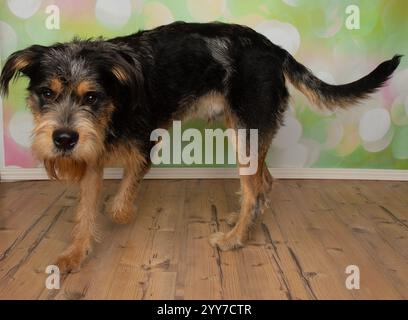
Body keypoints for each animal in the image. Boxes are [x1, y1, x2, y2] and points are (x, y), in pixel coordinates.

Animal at [0, 21, 402, 272]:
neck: (116, 98)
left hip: (245, 133)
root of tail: (274, 49)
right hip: (248, 133)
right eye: (46, 93)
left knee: (255, 189)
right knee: (264, 183)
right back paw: (245, 221)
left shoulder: (142, 147)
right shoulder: (90, 156)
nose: (63, 139)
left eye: (92, 96)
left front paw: (123, 213)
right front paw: (74, 255)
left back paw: (236, 238)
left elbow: (118, 203)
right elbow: (85, 210)